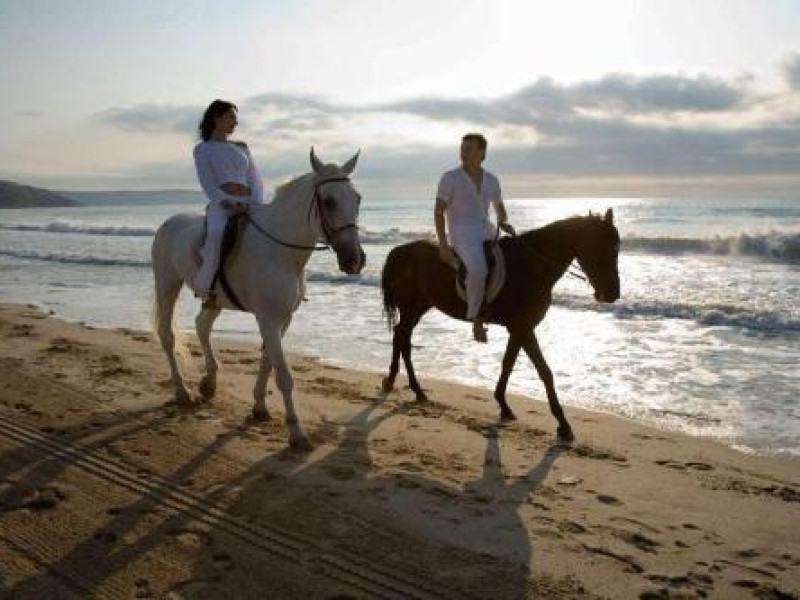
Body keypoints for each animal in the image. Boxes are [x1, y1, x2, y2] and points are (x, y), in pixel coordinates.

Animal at [151, 149, 365, 450]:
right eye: (329, 201)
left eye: (357, 198)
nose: (354, 260)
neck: (282, 252)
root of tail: (168, 223)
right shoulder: (267, 318)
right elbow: (284, 375)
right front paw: (296, 432)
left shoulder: (282, 319)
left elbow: (267, 362)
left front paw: (259, 408)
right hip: (167, 285)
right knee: (167, 335)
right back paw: (183, 392)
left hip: (214, 300)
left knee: (202, 326)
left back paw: (209, 382)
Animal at [380, 209, 620, 442]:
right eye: (600, 247)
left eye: (616, 249)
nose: (612, 294)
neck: (532, 266)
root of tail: (399, 252)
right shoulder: (524, 328)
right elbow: (544, 371)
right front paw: (563, 424)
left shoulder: (518, 329)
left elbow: (508, 363)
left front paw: (503, 405)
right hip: (411, 307)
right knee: (403, 339)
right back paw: (412, 387)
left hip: (419, 307)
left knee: (401, 336)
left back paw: (399, 383)